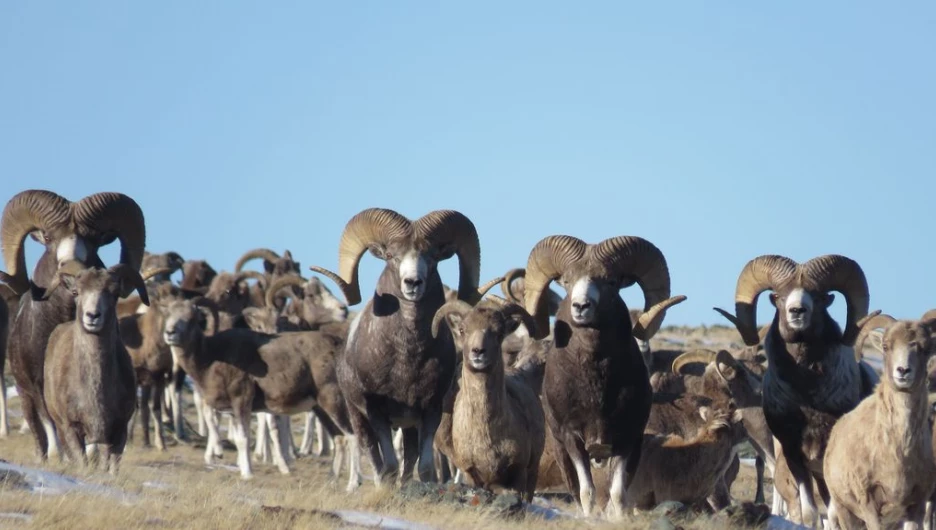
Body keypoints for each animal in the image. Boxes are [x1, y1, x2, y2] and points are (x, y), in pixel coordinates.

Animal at [43, 262, 149, 472]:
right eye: (76, 292)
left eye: (114, 293)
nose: (92, 316)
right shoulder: (70, 429)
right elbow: (81, 463)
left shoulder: (117, 432)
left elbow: (111, 467)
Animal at [434, 296, 544, 500]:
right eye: (463, 330)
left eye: (499, 333)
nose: (478, 352)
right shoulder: (471, 474)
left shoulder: (519, 471)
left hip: (533, 471)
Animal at [828, 314, 936, 528]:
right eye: (886, 346)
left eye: (926, 348)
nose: (903, 371)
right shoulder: (870, 506)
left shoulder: (916, 507)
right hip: (845, 511)